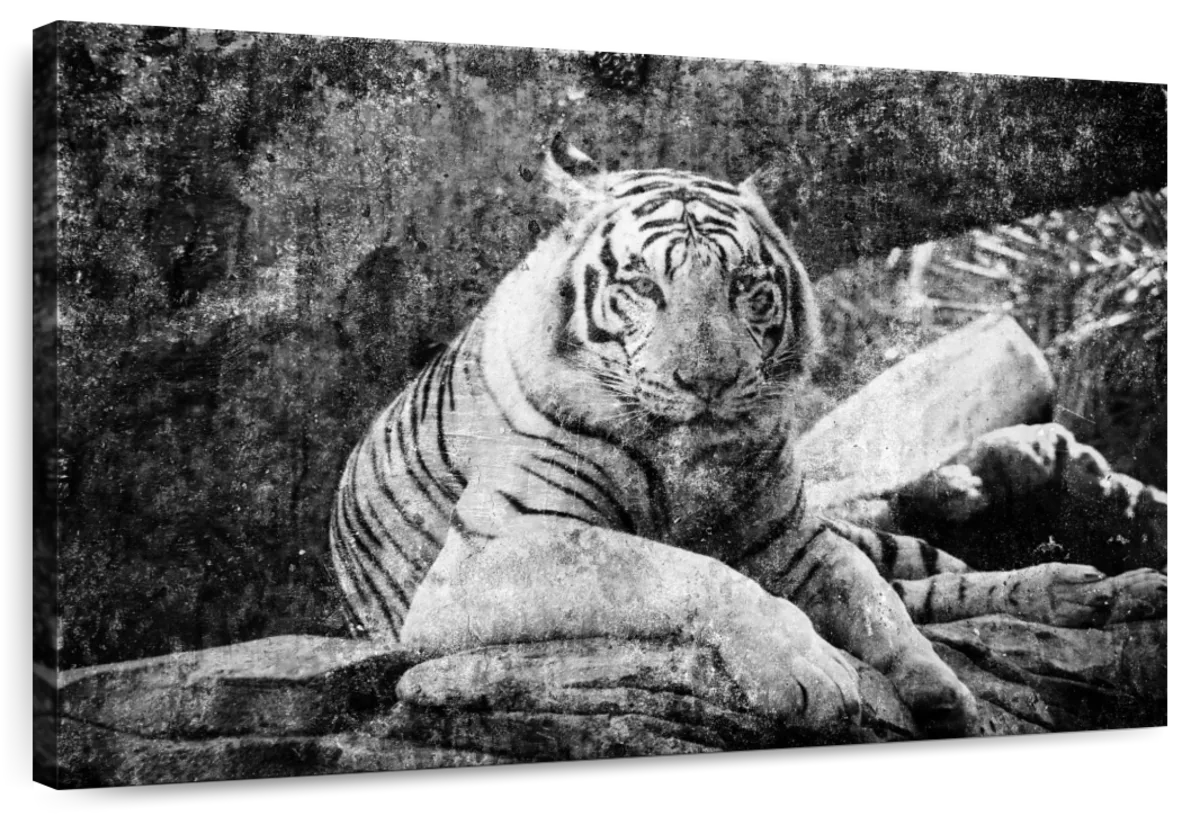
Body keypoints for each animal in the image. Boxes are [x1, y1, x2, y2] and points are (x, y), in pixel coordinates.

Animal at [329, 135, 1167, 739]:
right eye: (643, 286)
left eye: (744, 287)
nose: (709, 381)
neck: (688, 462)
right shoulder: (494, 552)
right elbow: (687, 572)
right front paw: (812, 674)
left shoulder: (796, 536)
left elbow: (873, 603)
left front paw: (941, 692)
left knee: (935, 576)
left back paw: (1093, 587)